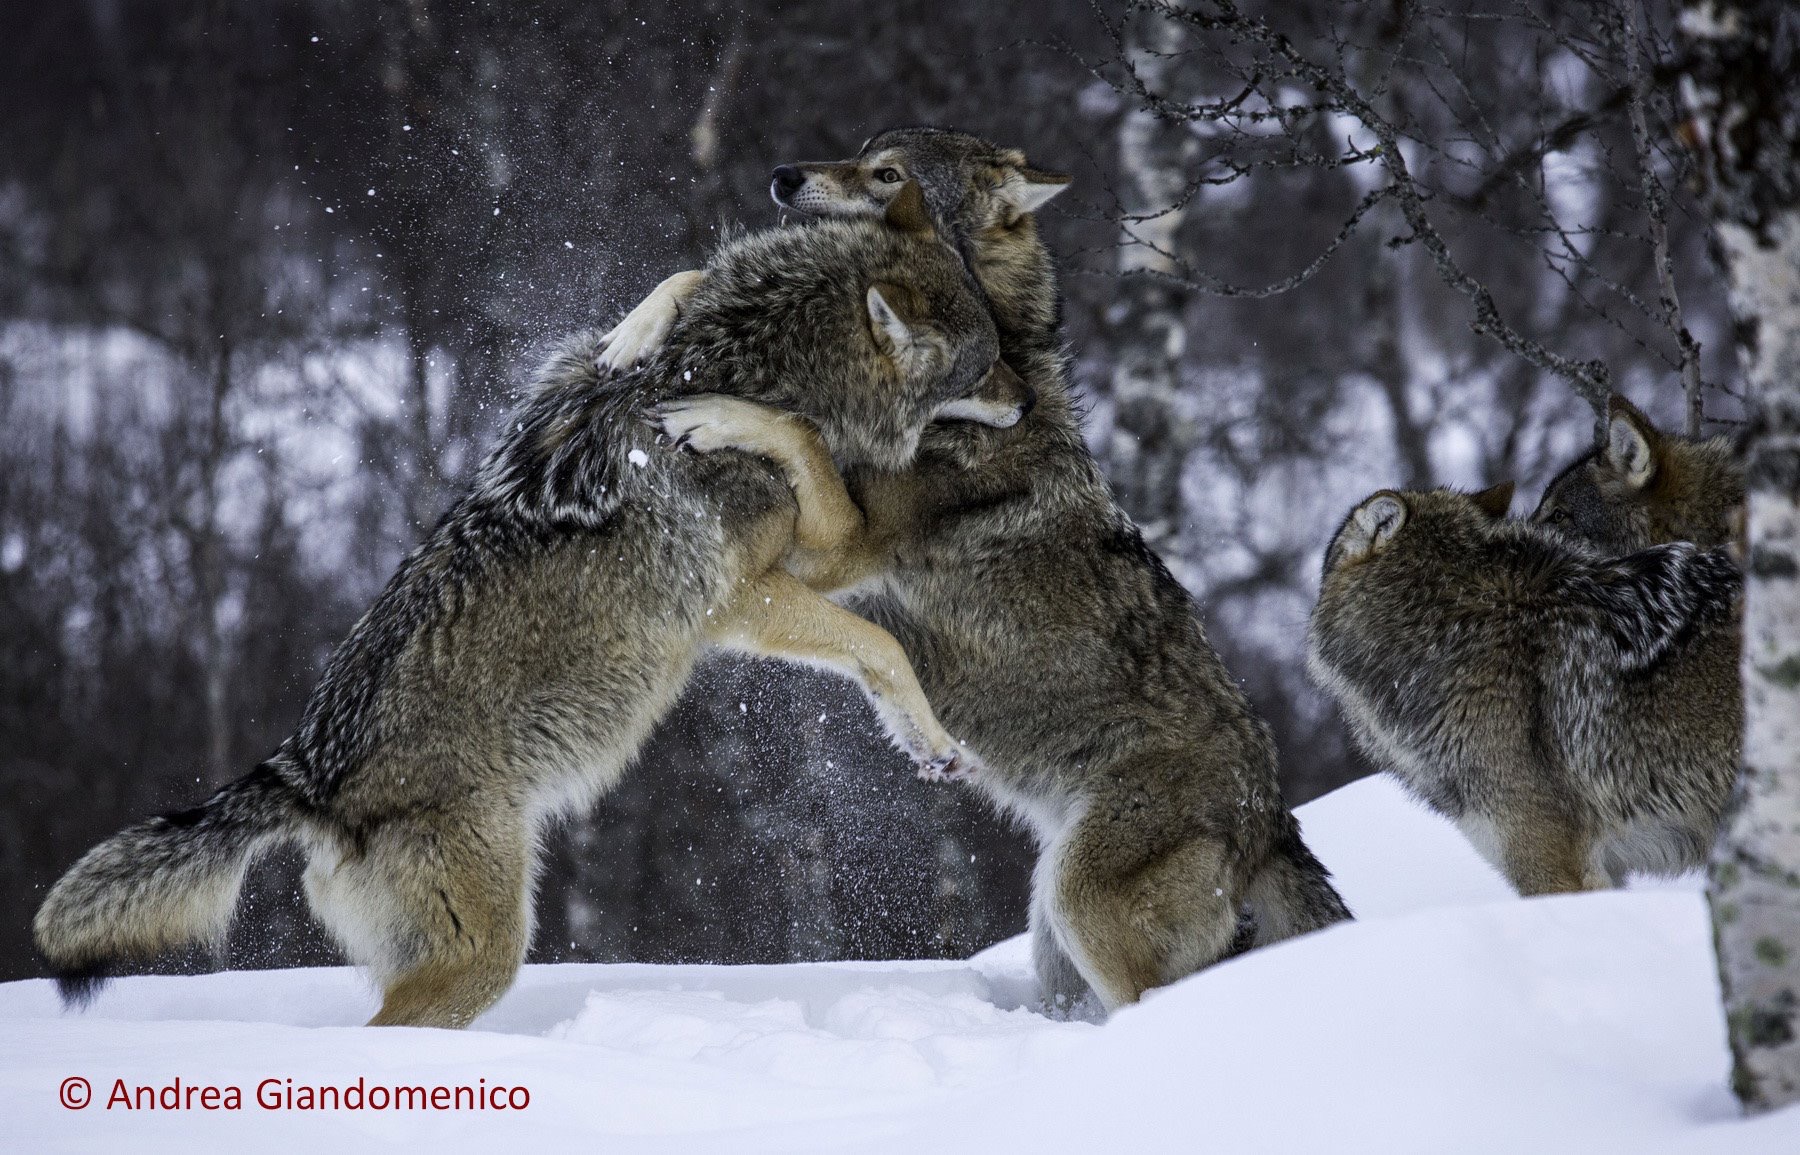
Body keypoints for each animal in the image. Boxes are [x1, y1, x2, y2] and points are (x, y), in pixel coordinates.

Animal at [33, 184, 1029, 1029]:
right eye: (987, 364)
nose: (1029, 399)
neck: (756, 355)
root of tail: (306, 774)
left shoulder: (800, 566)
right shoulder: (759, 588)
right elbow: (875, 628)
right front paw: (939, 744)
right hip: (485, 952)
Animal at [610, 126, 1351, 1017]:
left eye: (887, 174)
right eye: (863, 149)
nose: (784, 177)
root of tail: (1273, 810)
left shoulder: (836, 552)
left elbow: (798, 431)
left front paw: (720, 410)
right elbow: (687, 284)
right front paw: (635, 330)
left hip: (1081, 903)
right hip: (1053, 932)